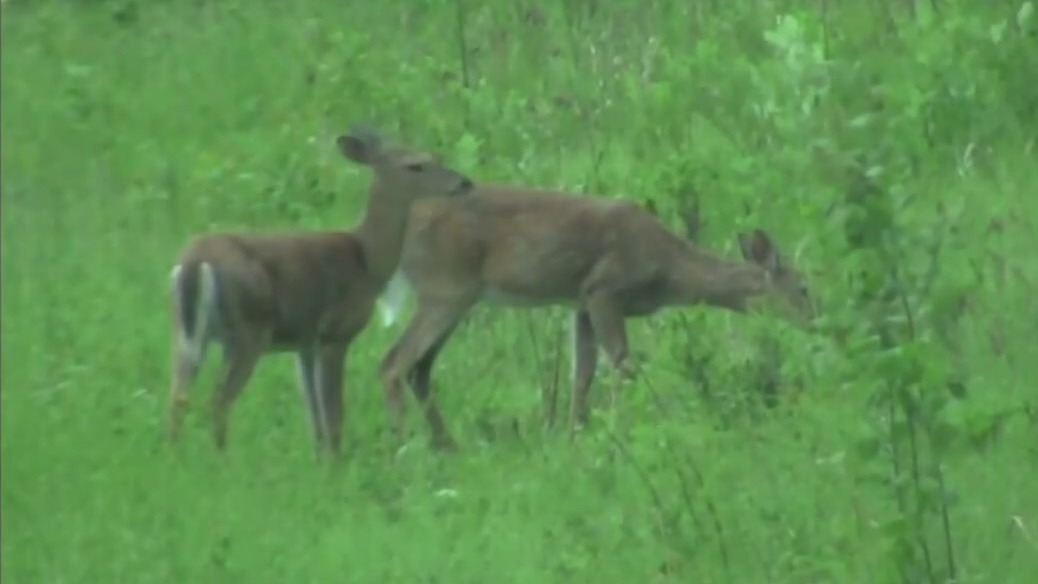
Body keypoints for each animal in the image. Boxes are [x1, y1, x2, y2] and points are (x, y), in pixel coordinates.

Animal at [166, 125, 474, 457]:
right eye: (415, 165)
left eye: (434, 157)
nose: (464, 183)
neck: (367, 260)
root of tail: (195, 262)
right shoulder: (335, 334)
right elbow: (334, 412)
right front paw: (336, 460)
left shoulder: (305, 342)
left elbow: (314, 413)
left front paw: (320, 456)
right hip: (248, 332)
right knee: (218, 400)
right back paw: (222, 457)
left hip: (188, 334)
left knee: (178, 396)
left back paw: (176, 452)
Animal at [376, 185, 817, 451]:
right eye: (804, 288)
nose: (816, 321)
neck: (668, 270)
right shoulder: (606, 290)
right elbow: (622, 366)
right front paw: (624, 431)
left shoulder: (581, 304)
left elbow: (583, 374)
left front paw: (574, 438)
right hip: (447, 288)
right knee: (394, 362)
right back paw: (403, 445)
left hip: (453, 296)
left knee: (419, 368)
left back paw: (444, 445)